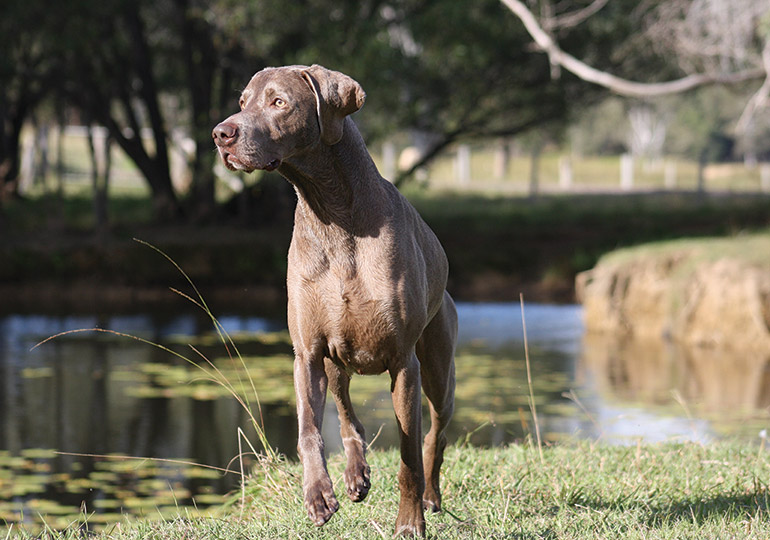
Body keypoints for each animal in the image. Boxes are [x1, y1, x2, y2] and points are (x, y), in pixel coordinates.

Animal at [212, 63, 456, 536]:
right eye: (242, 102)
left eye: (279, 102)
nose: (220, 134)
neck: (333, 214)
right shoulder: (306, 352)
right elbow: (309, 430)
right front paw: (318, 495)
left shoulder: (404, 363)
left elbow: (408, 453)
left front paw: (409, 522)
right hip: (336, 356)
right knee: (347, 413)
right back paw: (355, 472)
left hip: (438, 366)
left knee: (435, 433)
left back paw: (431, 498)